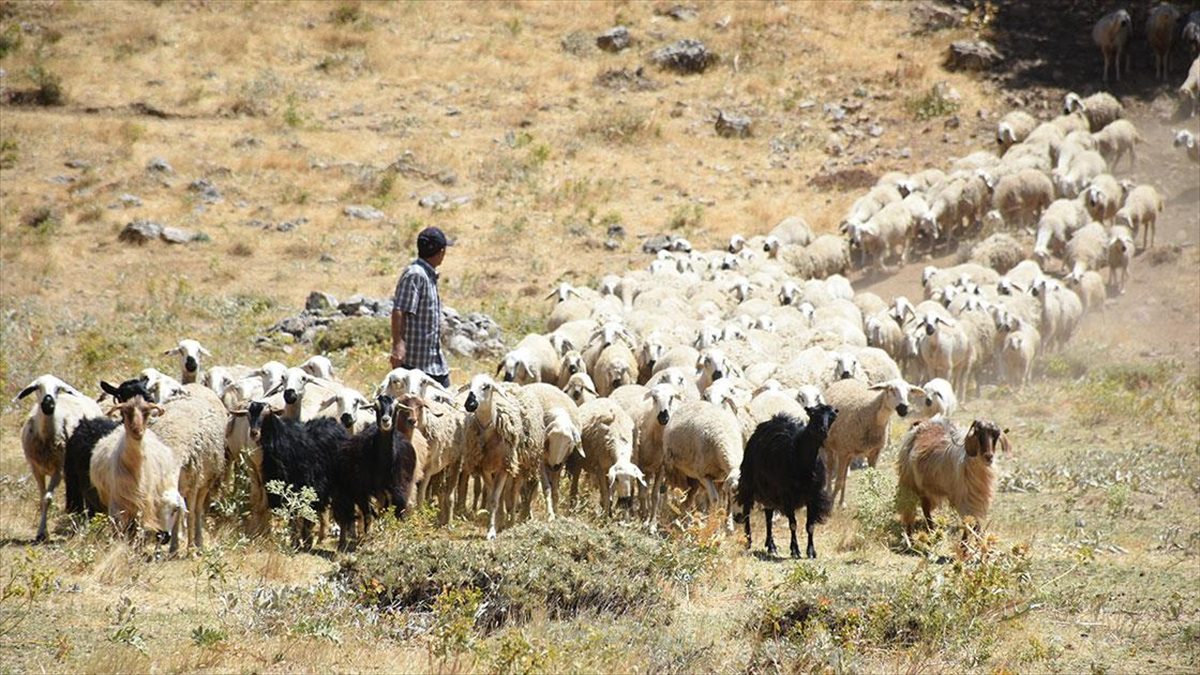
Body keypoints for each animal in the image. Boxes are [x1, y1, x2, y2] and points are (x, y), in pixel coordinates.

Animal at [14, 372, 101, 540]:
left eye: (58, 389)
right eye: (37, 387)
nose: (48, 404)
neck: (46, 437)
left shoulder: (58, 470)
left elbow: (48, 498)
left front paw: (43, 533)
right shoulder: (36, 469)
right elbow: (42, 498)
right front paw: (42, 532)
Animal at [231, 398, 348, 547]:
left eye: (267, 413)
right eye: (248, 415)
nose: (254, 433)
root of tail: (335, 424)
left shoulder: (301, 482)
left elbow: (298, 511)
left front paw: (299, 540)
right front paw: (298, 540)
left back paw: (339, 541)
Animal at [331, 391, 420, 550]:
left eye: (396, 407)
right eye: (376, 407)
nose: (386, 421)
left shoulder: (400, 490)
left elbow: (398, 513)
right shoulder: (360, 490)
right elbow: (368, 515)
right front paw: (368, 539)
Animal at [734, 403, 840, 557]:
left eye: (832, 416)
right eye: (813, 414)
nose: (822, 431)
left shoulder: (813, 495)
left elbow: (810, 526)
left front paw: (811, 551)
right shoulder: (786, 494)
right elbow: (793, 524)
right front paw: (795, 550)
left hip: (769, 491)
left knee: (768, 515)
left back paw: (771, 546)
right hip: (748, 482)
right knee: (747, 511)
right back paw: (748, 542)